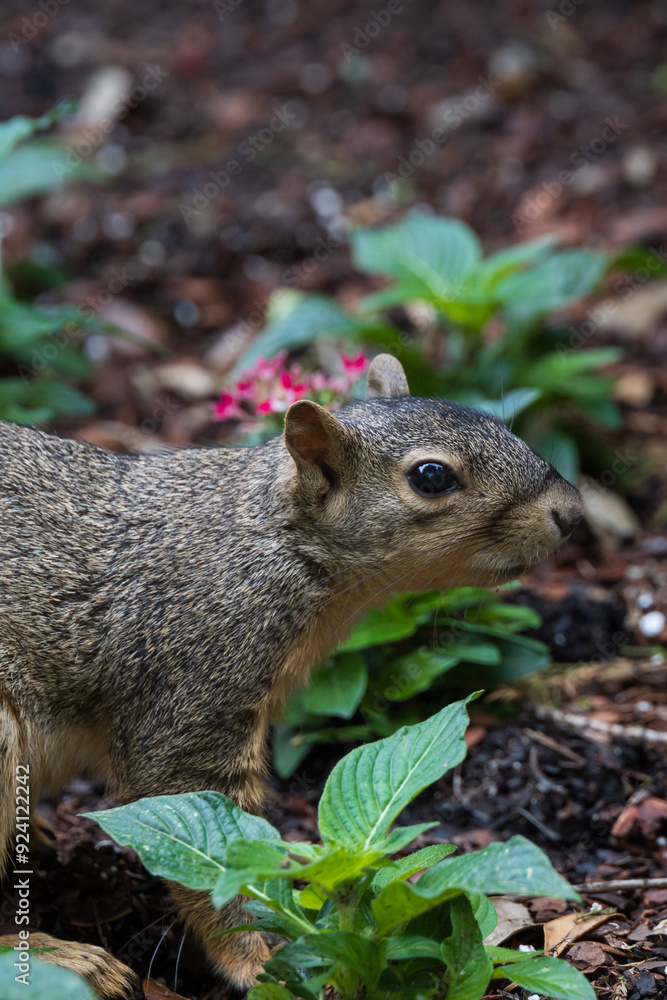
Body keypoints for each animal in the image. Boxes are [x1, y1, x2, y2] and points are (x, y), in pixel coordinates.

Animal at [0, 354, 583, 998]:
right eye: (431, 478)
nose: (571, 512)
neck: (276, 537)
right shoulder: (193, 676)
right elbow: (208, 833)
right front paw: (263, 959)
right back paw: (66, 957)